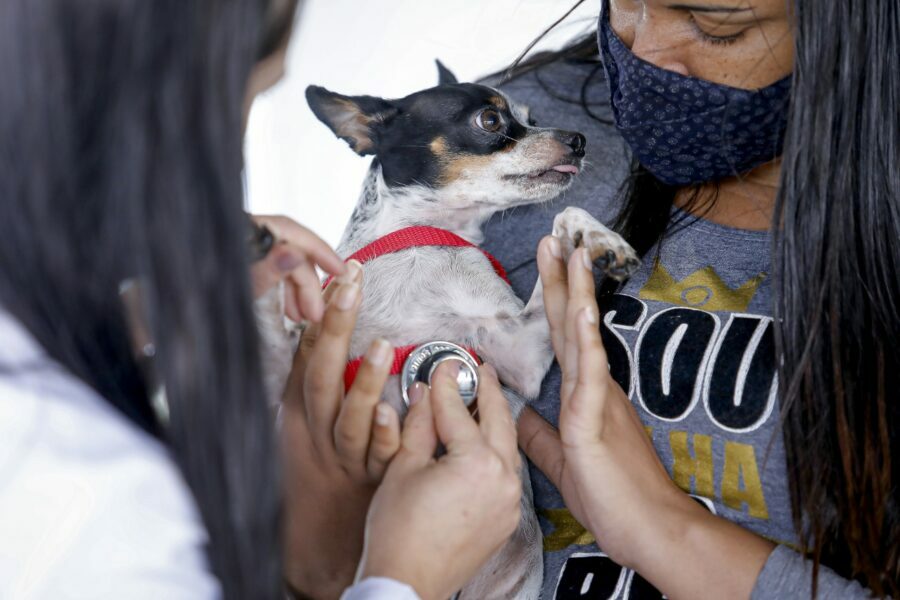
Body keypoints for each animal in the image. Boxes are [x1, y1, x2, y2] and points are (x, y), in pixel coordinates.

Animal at [296, 63, 632, 596]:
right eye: (490, 120)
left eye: (530, 116)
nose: (578, 139)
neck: (419, 235)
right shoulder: (518, 355)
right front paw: (597, 239)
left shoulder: (515, 351)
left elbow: (562, 218)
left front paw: (595, 236)